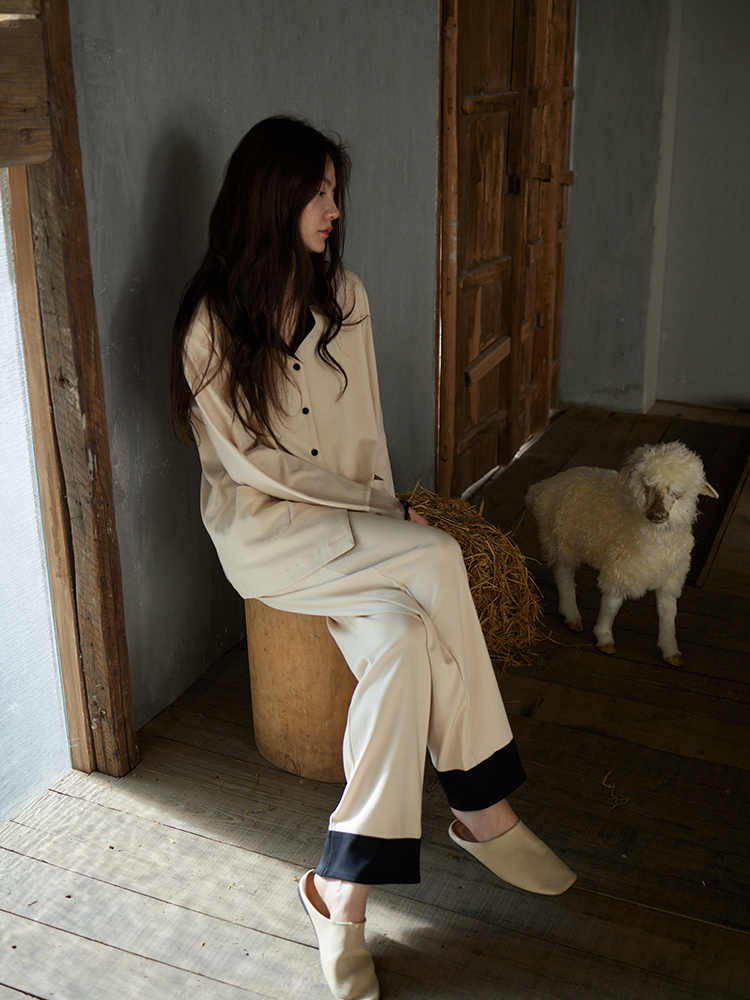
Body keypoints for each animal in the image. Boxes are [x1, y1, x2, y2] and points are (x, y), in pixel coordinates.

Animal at [525, 442, 718, 665]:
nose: (657, 515)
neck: (657, 538)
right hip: (562, 539)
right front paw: (604, 637)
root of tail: (541, 487)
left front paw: (670, 649)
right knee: (563, 573)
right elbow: (612, 604)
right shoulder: (621, 567)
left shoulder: (671, 576)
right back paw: (571, 613)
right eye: (647, 486)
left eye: (678, 493)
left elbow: (668, 612)